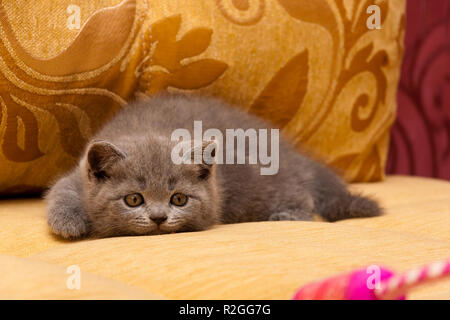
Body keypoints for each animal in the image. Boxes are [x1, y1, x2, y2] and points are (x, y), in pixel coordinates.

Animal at [45, 94, 382, 239]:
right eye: (134, 199)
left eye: (179, 199)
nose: (158, 218)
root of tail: (291, 153)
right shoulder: (77, 174)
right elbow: (61, 191)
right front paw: (68, 222)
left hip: (263, 184)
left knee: (299, 194)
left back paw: (287, 215)